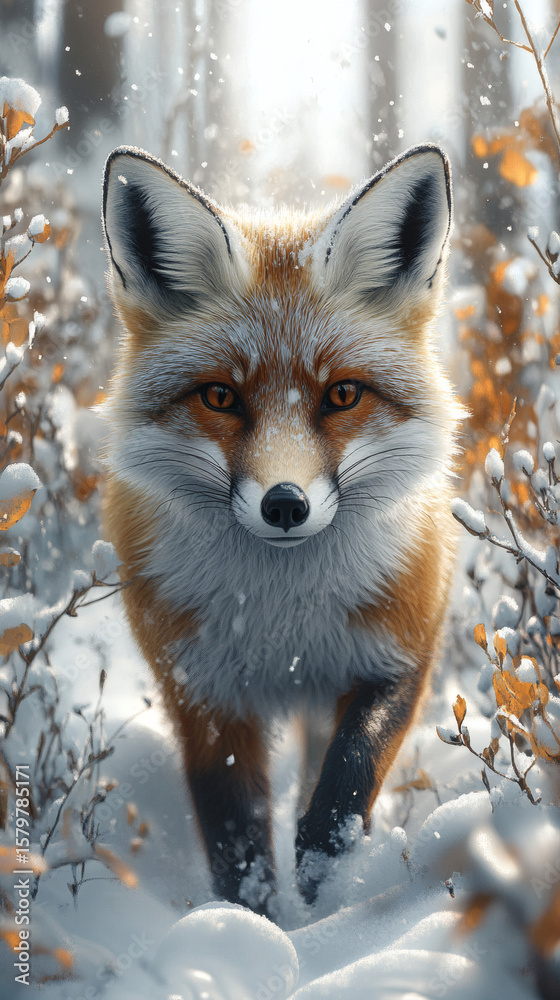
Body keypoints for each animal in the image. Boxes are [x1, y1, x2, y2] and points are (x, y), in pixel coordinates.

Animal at [101, 142, 462, 915]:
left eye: (342, 394)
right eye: (220, 397)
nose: (286, 504)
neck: (284, 623)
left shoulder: (397, 656)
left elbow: (346, 783)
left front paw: (327, 897)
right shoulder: (203, 691)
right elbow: (236, 834)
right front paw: (254, 924)